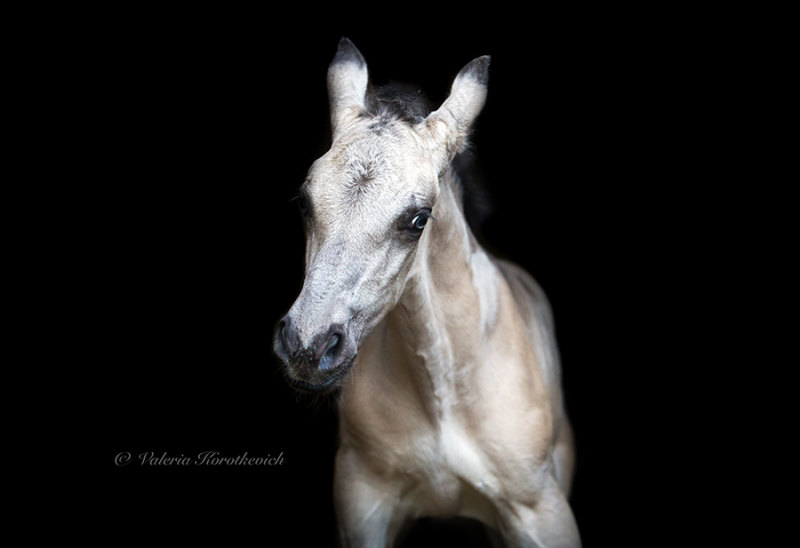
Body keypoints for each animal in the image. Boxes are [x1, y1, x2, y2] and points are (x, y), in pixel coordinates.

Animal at [276, 36, 580, 544]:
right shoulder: (364, 504)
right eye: (303, 201)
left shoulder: (541, 510)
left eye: (418, 219)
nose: (307, 346)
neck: (442, 393)